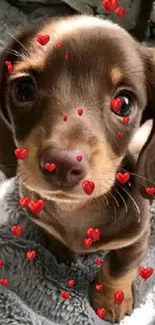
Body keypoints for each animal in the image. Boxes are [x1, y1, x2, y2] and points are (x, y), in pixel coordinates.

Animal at [0, 14, 155, 322]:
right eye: (24, 89)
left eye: (124, 103)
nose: (61, 163)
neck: (75, 211)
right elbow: (53, 234)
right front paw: (60, 248)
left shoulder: (137, 236)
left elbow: (119, 267)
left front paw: (111, 298)